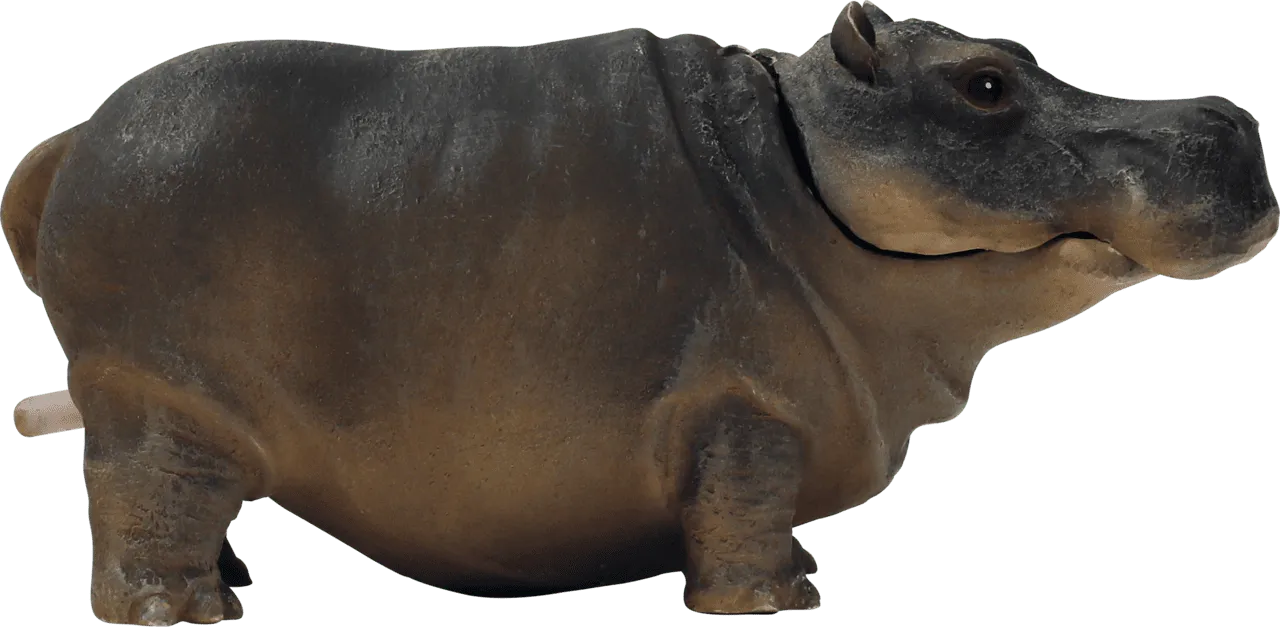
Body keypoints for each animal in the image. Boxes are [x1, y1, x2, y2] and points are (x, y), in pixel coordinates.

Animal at [3, 1, 1275, 624]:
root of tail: (71, 139)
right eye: (981, 84)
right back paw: (182, 613)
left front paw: (802, 579)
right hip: (158, 397)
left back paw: (235, 580)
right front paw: (770, 604)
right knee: (134, 500)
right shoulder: (745, 400)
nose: (1227, 118)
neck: (791, 165)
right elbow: (740, 508)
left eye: (1010, 56)